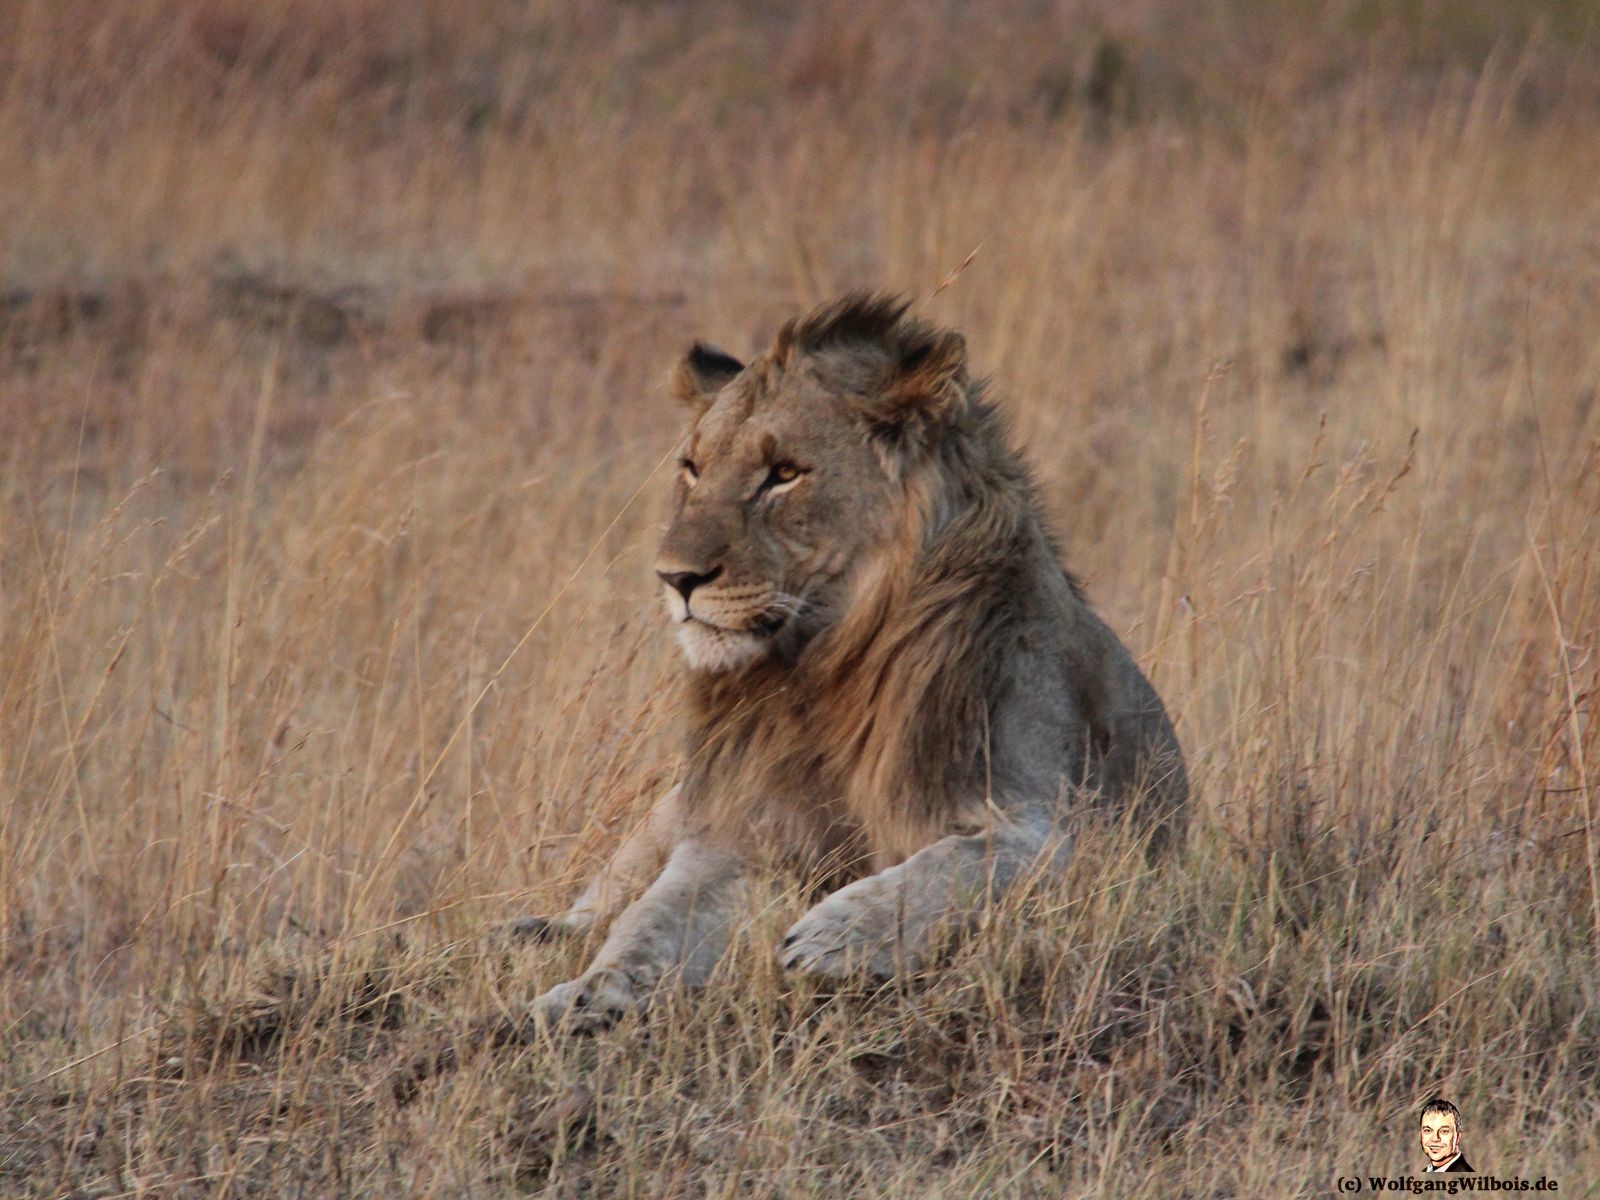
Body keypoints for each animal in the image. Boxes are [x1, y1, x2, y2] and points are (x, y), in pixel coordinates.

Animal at [512, 294, 1190, 1036]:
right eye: (691, 467)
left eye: (784, 473)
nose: (675, 578)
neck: (822, 673)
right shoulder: (735, 829)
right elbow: (651, 917)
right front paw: (587, 992)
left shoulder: (1057, 830)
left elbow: (954, 864)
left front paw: (834, 935)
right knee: (607, 895)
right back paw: (536, 932)